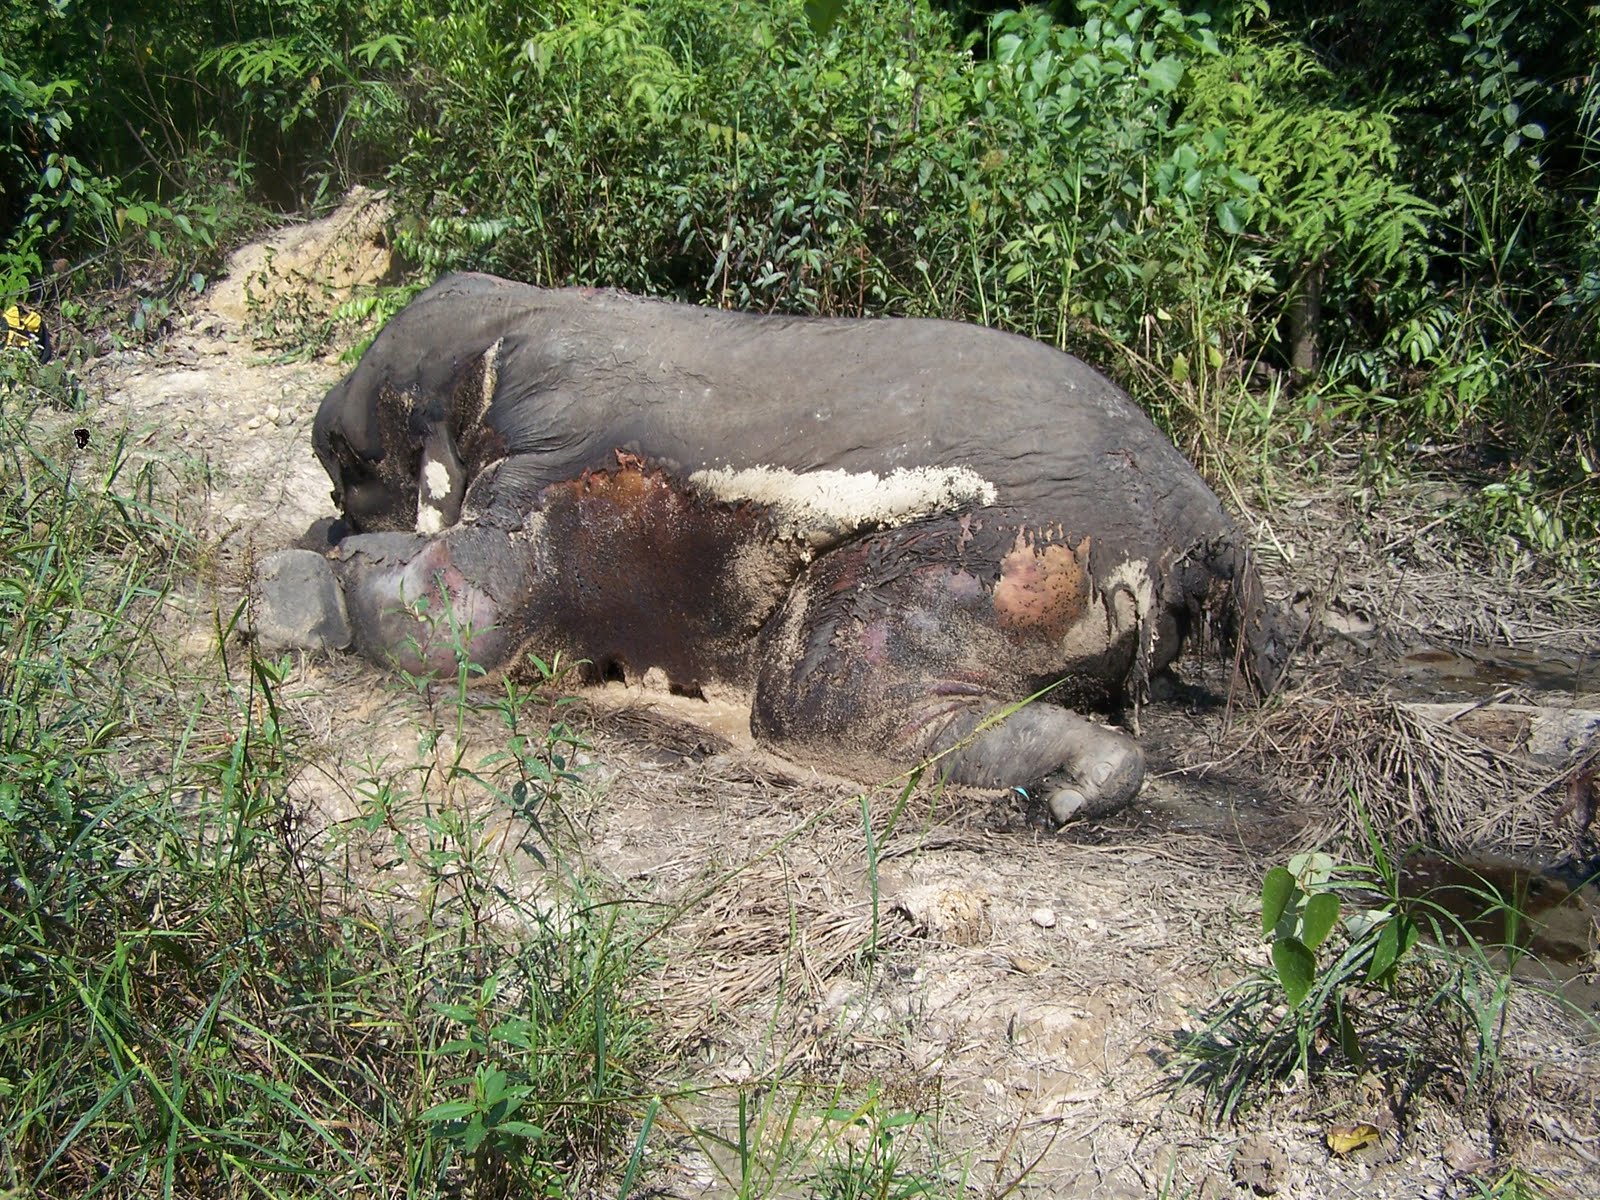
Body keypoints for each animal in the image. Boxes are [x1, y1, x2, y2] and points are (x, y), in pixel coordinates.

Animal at [291, 270, 1286, 825]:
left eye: (349, 463)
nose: (334, 508)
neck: (501, 334)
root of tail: (1197, 531)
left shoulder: (551, 451)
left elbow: (460, 623)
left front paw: (303, 585)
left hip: (1012, 550)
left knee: (827, 693)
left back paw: (1085, 774)